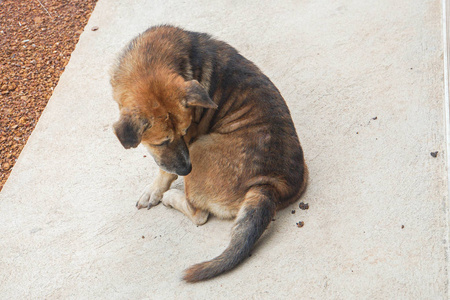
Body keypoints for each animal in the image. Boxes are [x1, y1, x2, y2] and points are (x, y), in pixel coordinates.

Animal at [110, 24, 308, 282]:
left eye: (185, 131)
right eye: (163, 142)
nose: (187, 169)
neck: (149, 61)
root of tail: (270, 186)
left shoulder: (188, 143)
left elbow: (164, 173)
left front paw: (155, 190)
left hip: (199, 149)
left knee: (198, 215)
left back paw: (171, 197)